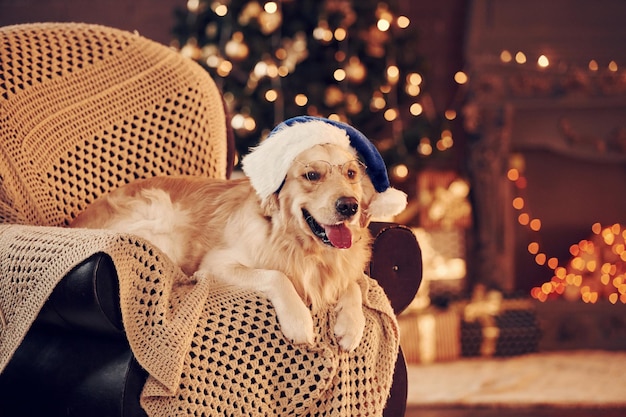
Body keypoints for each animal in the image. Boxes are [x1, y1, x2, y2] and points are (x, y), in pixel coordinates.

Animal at [70, 115, 408, 350]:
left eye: (351, 174)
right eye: (312, 175)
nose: (349, 206)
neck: (303, 247)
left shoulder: (342, 266)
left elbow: (354, 284)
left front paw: (351, 325)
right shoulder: (217, 264)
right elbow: (276, 275)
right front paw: (298, 321)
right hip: (160, 215)